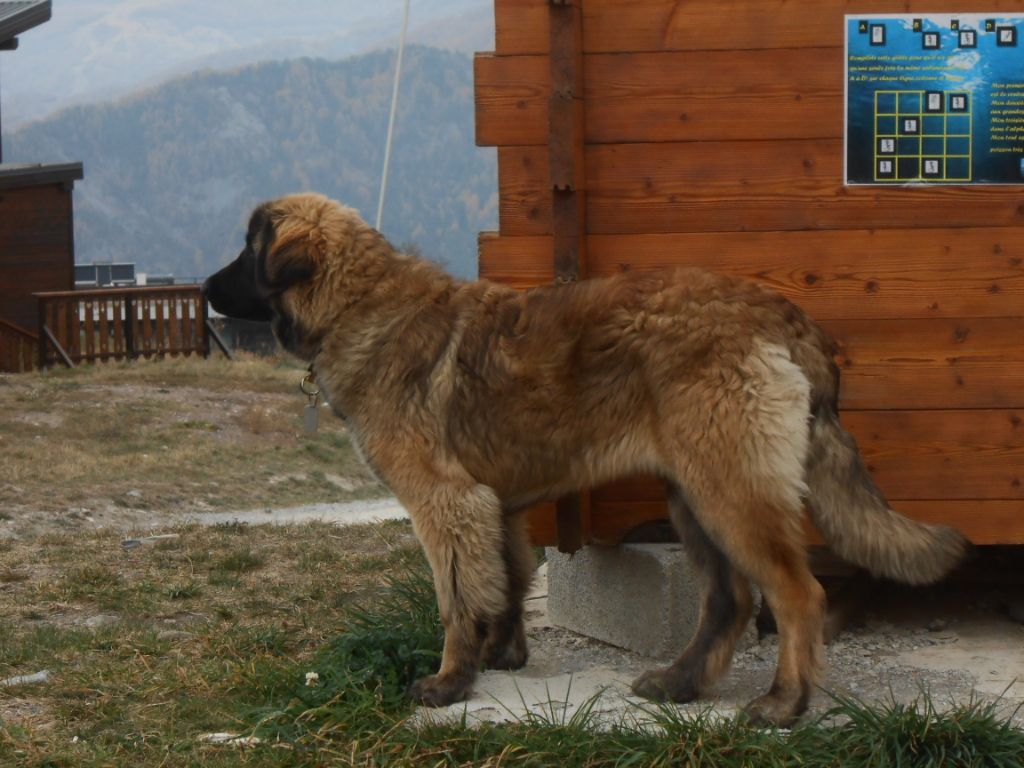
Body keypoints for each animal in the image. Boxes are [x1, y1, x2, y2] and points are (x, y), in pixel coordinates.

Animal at [201, 192, 966, 729]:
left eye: (247, 249)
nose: (204, 288)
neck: (359, 305)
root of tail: (786, 316)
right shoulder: (495, 503)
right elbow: (505, 580)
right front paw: (502, 654)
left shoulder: (445, 502)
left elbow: (456, 599)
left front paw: (449, 683)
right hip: (692, 492)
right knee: (730, 599)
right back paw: (680, 683)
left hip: (730, 489)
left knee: (797, 594)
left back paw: (785, 703)